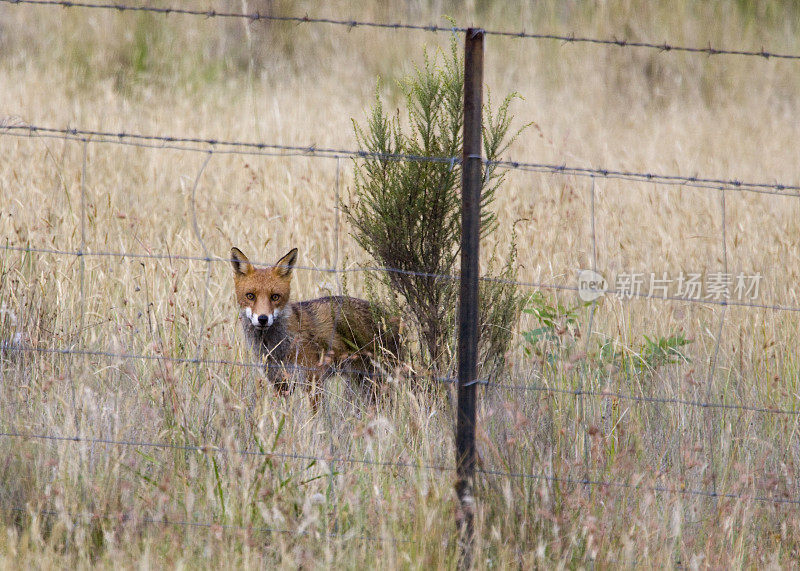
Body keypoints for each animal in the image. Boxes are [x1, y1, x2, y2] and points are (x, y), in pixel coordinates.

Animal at [231, 248, 404, 414]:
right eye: (250, 296)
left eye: (275, 297)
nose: (262, 319)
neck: (276, 347)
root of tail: (390, 316)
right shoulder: (281, 384)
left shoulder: (313, 381)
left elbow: (315, 418)